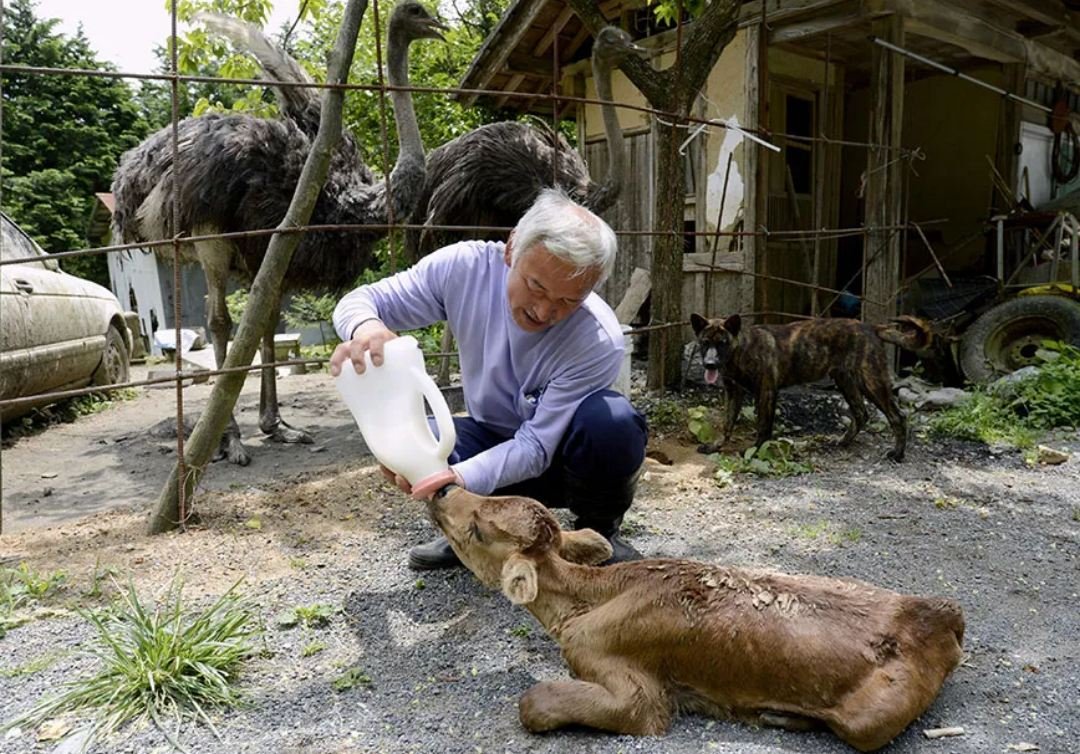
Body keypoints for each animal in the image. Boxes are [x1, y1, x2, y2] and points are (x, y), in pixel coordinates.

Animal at [425, 483, 967, 747]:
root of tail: (942, 614)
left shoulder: (637, 694)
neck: (585, 603)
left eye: (478, 528)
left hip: (872, 719)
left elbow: (534, 701)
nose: (442, 490)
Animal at [691, 308, 911, 458]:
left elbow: (763, 425)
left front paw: (755, 449)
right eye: (705, 343)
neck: (741, 352)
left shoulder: (766, 392)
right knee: (861, 413)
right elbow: (726, 423)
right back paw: (843, 442)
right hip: (846, 382)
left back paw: (898, 454)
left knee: (897, 416)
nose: (710, 364)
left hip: (871, 381)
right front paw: (715, 446)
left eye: (722, 343)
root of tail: (870, 326)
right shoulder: (733, 392)